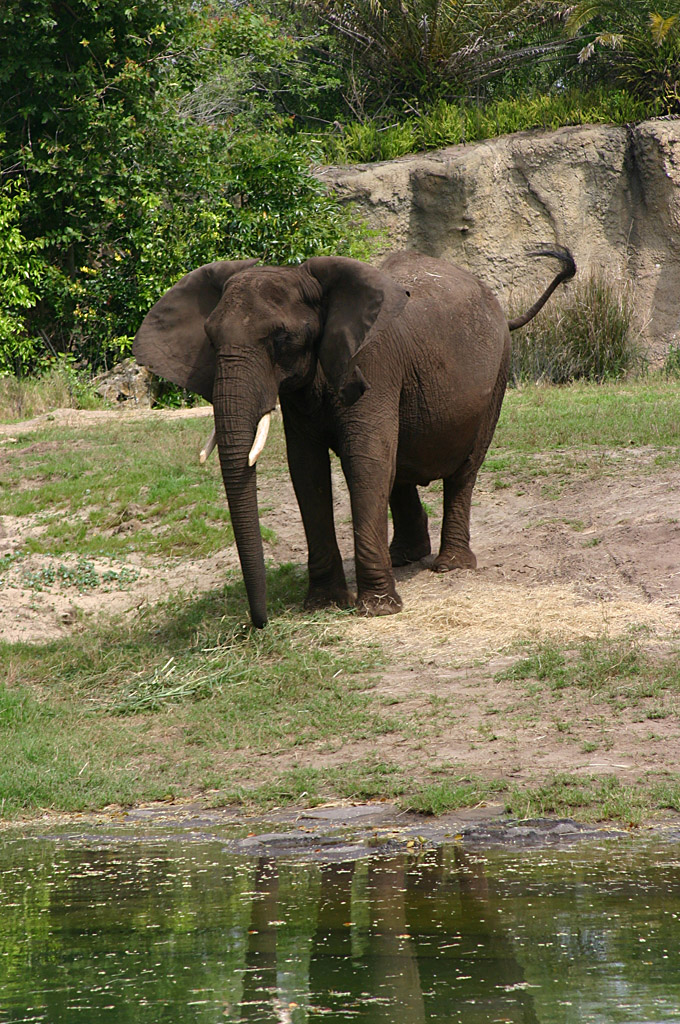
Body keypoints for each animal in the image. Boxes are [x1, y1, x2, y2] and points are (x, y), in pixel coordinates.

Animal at [133, 247, 575, 627]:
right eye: (210, 339)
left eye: (282, 339)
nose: (259, 624)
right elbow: (306, 470)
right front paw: (324, 605)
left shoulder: (373, 363)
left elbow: (365, 459)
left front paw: (378, 609)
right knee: (399, 465)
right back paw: (404, 557)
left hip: (498, 372)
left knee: (464, 469)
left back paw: (450, 565)